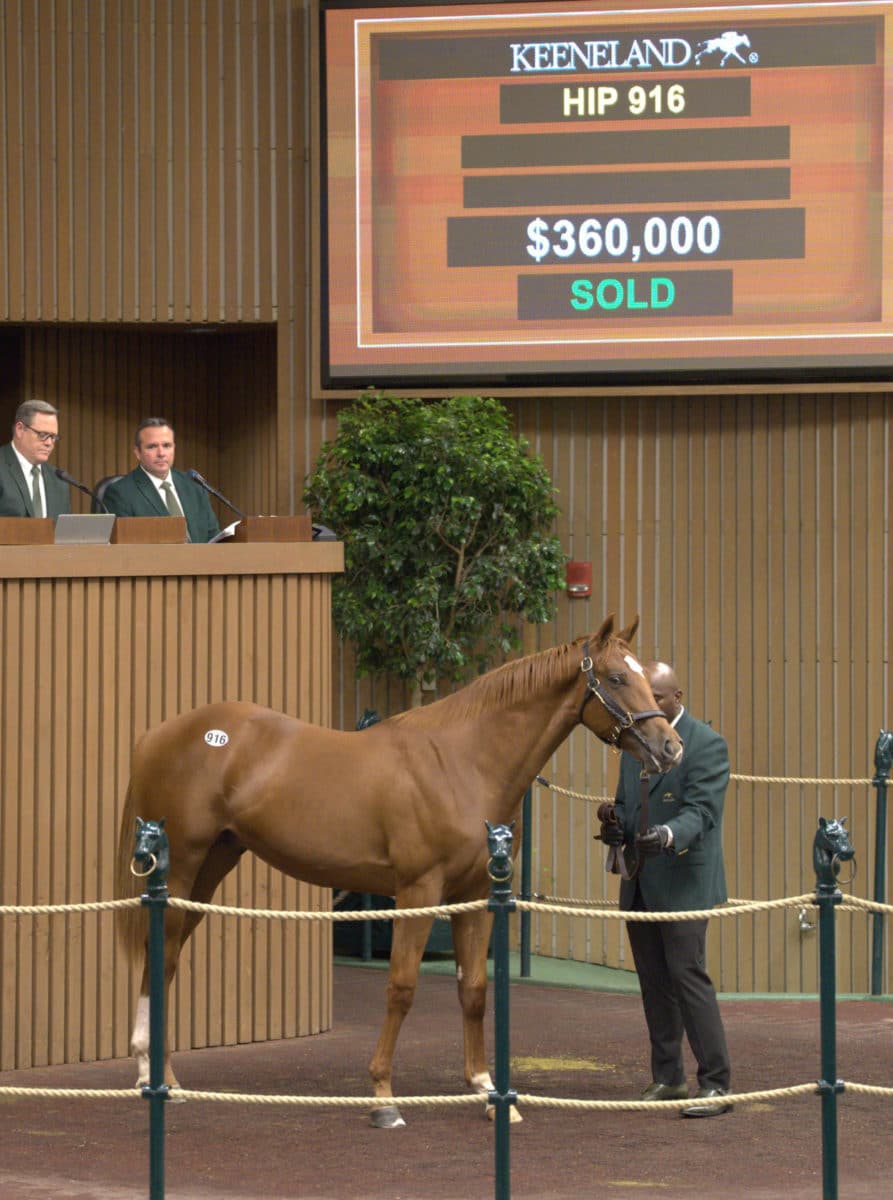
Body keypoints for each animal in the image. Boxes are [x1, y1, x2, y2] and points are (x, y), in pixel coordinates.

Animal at [115, 619, 681, 1123]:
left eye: (643, 677)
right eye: (616, 678)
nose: (669, 747)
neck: (463, 762)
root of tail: (154, 736)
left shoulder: (474, 894)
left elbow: (474, 990)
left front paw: (486, 1090)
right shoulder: (418, 891)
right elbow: (402, 987)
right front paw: (383, 1097)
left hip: (212, 865)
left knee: (167, 958)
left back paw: (162, 1076)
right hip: (184, 868)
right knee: (159, 953)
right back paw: (152, 1076)